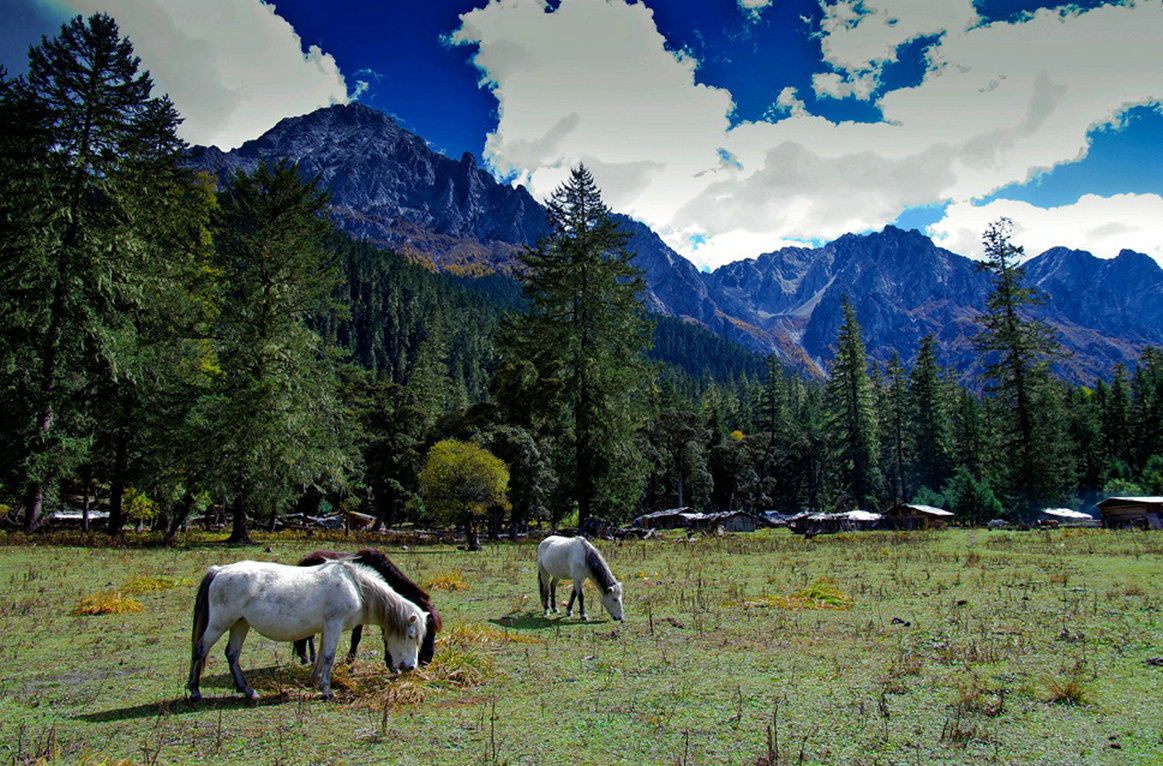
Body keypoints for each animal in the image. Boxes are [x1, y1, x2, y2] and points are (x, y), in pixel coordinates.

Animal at [186, 557, 427, 702]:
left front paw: (315, 679)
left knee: (232, 654)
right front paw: (327, 690)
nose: (411, 667)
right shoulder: (333, 626)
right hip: (220, 623)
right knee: (200, 649)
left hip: (240, 623)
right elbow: (329, 656)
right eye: (410, 635)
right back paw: (195, 691)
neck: (357, 589)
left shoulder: (325, 629)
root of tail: (220, 570)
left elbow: (320, 655)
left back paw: (247, 691)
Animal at [295, 548, 439, 669]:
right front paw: (350, 661)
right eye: (426, 631)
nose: (426, 660)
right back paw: (308, 659)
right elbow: (358, 637)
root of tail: (304, 561)